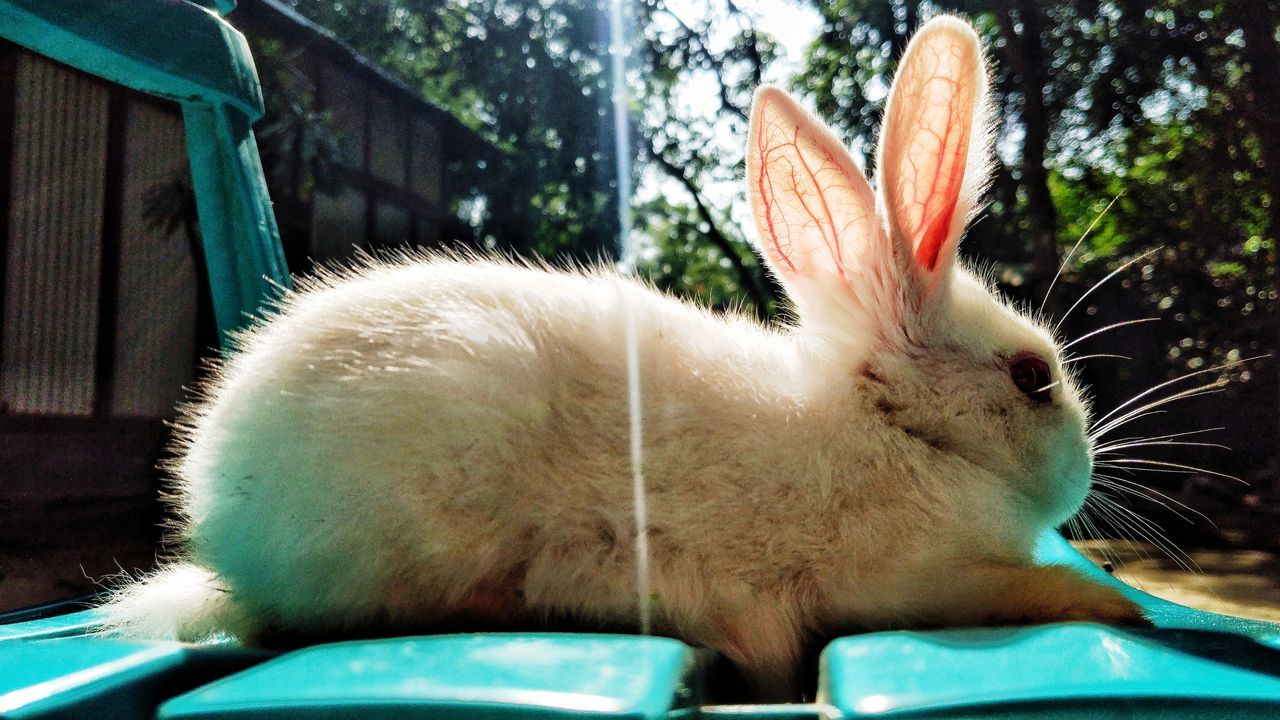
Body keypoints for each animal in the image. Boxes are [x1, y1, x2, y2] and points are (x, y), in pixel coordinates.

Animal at [99, 16, 1141, 696]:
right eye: (1032, 378)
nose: (1085, 472)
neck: (892, 425)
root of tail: (218, 514)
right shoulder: (906, 578)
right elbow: (1009, 592)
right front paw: (1115, 610)